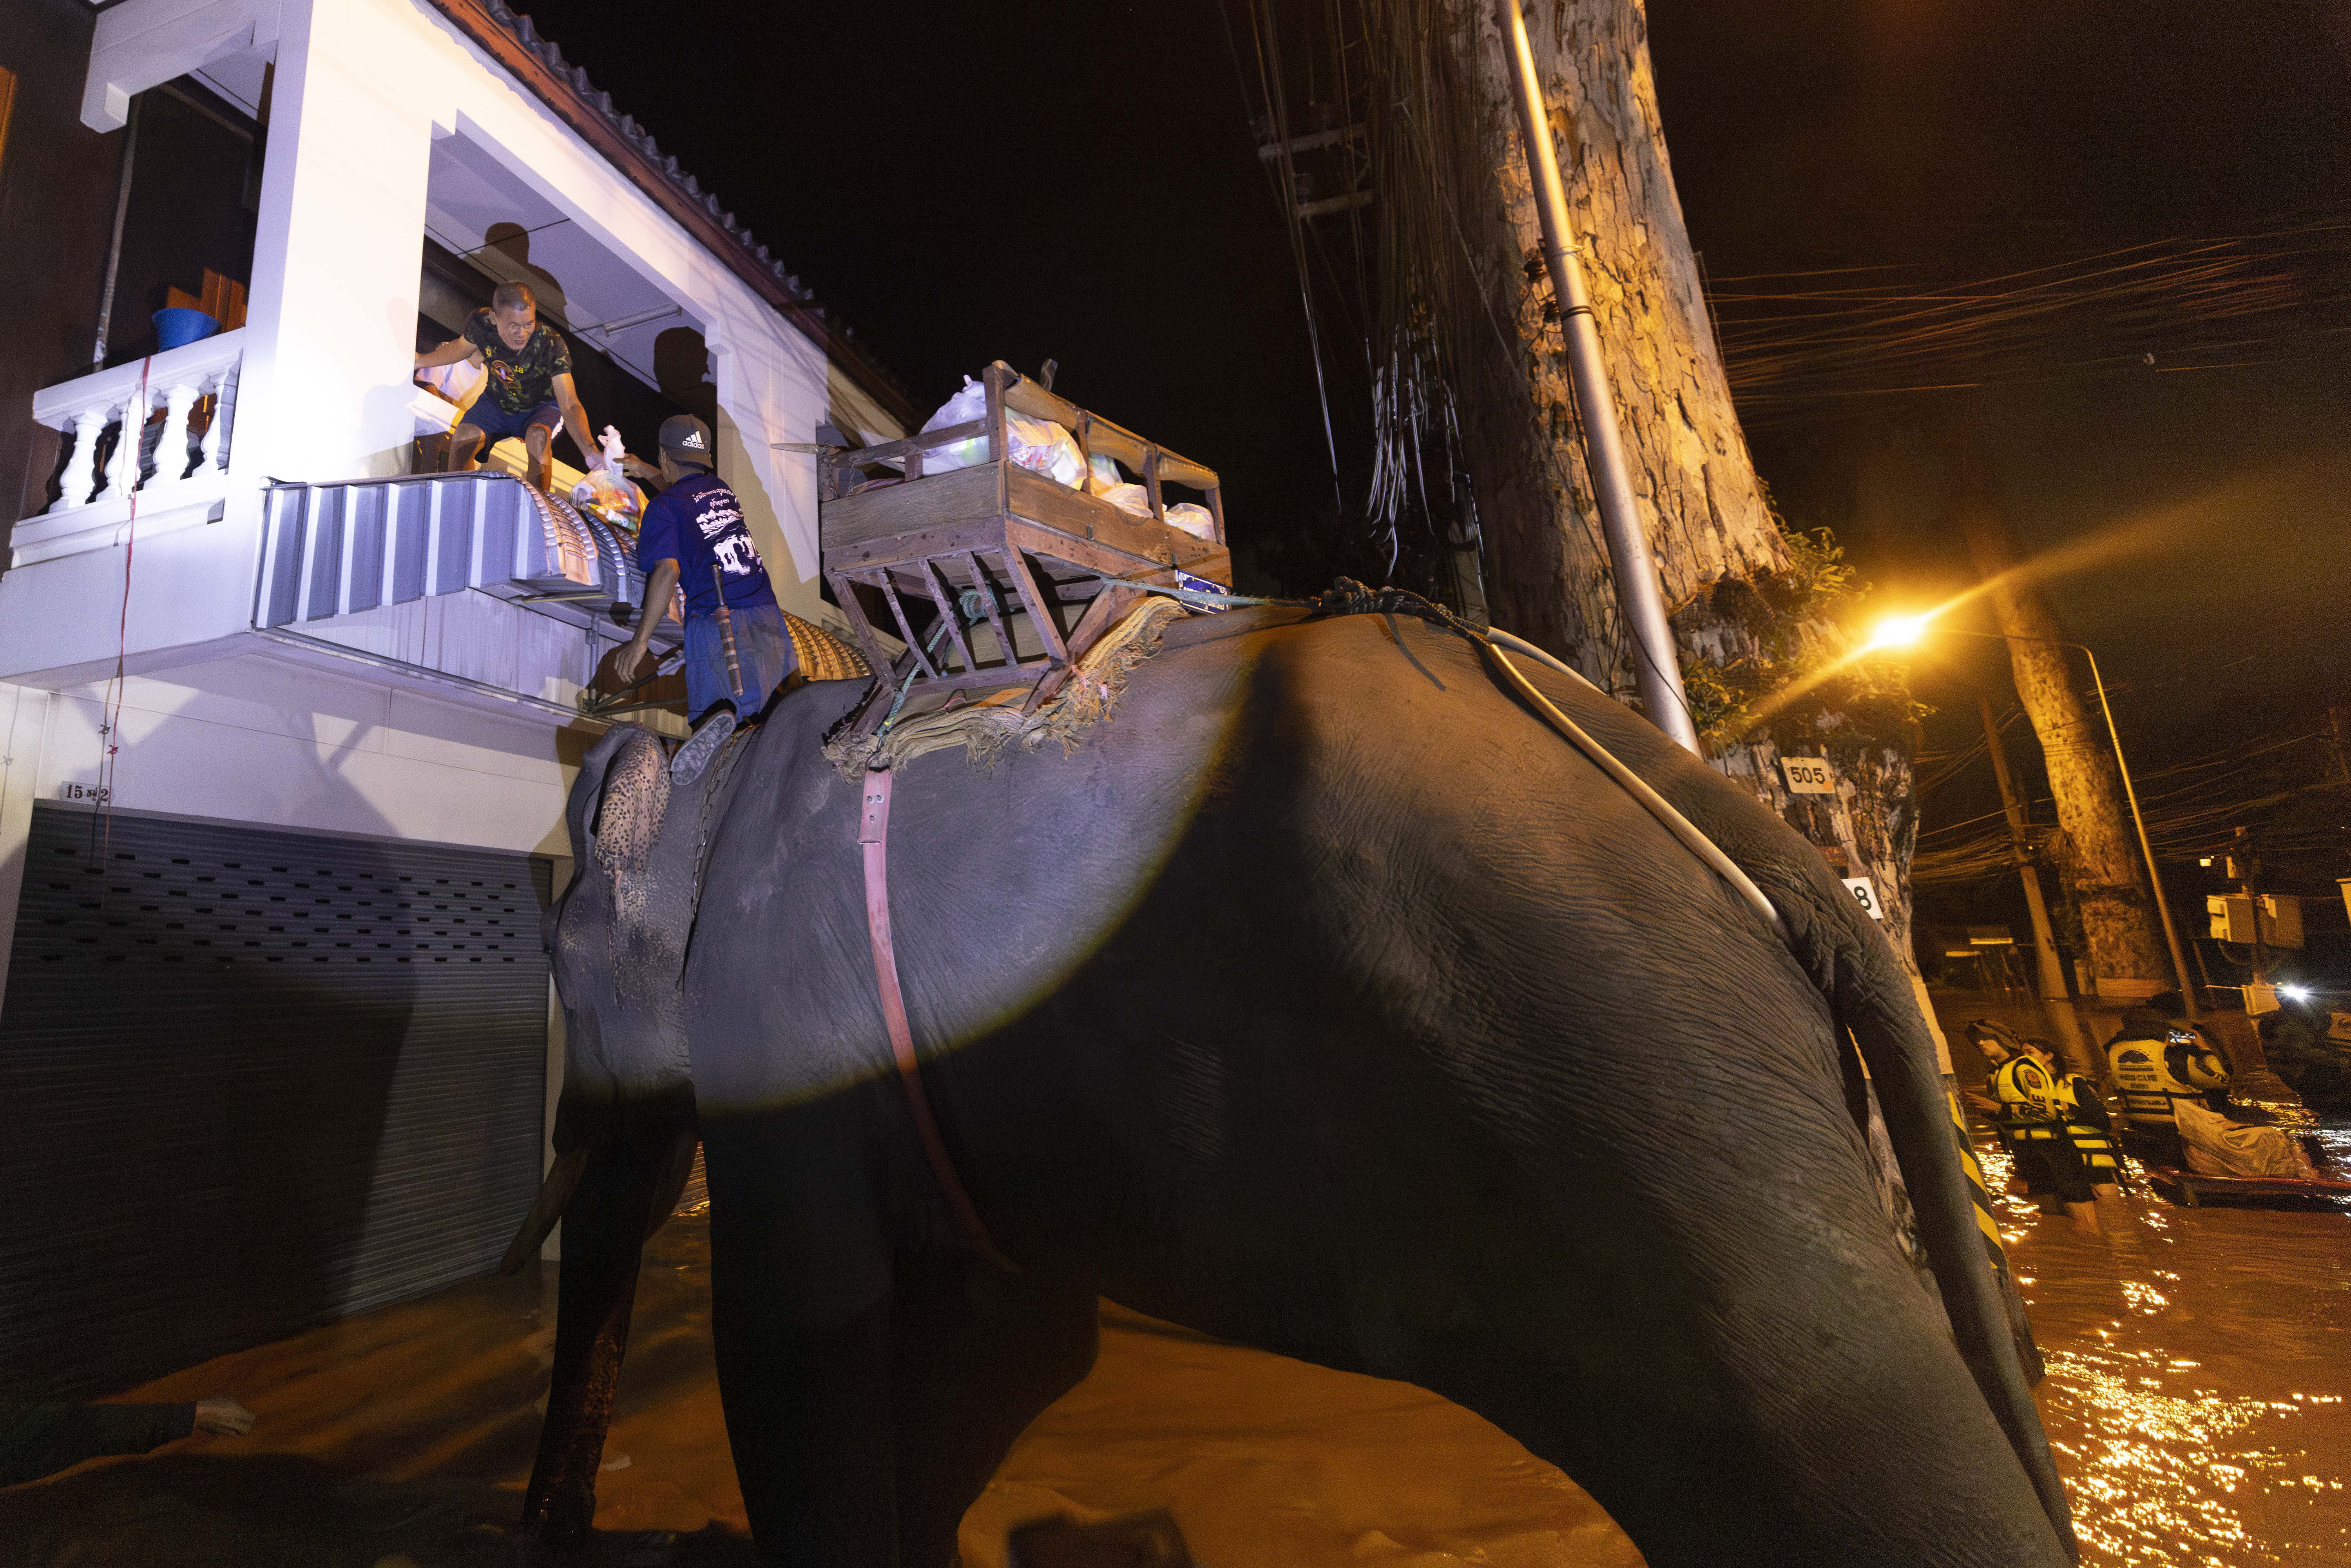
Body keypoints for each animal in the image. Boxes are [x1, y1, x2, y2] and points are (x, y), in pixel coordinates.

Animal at [518, 596, 2076, 1568]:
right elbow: (1008, 1349)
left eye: (557, 961)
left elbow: (802, 1336)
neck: (732, 754)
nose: (556, 1520)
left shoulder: (781, 1004)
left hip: (1666, 1119)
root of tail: (1761, 841)